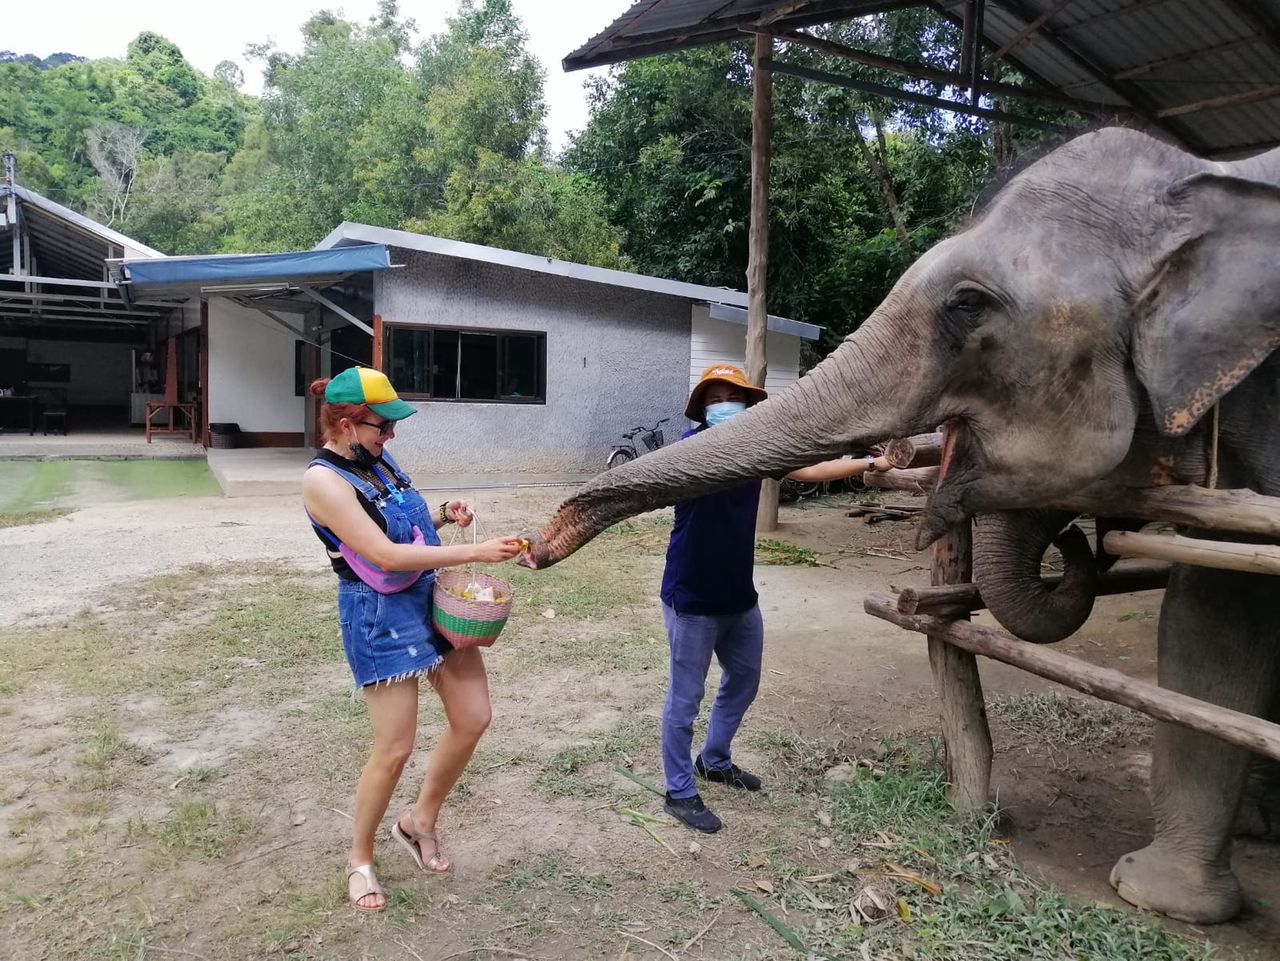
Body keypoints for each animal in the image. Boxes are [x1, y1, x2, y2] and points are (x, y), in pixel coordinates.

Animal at [514, 127, 1274, 926]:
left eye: (967, 305)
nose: (535, 545)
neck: (1206, 179)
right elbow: (1216, 614)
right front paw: (1162, 894)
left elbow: (1218, 606)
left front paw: (1156, 894)